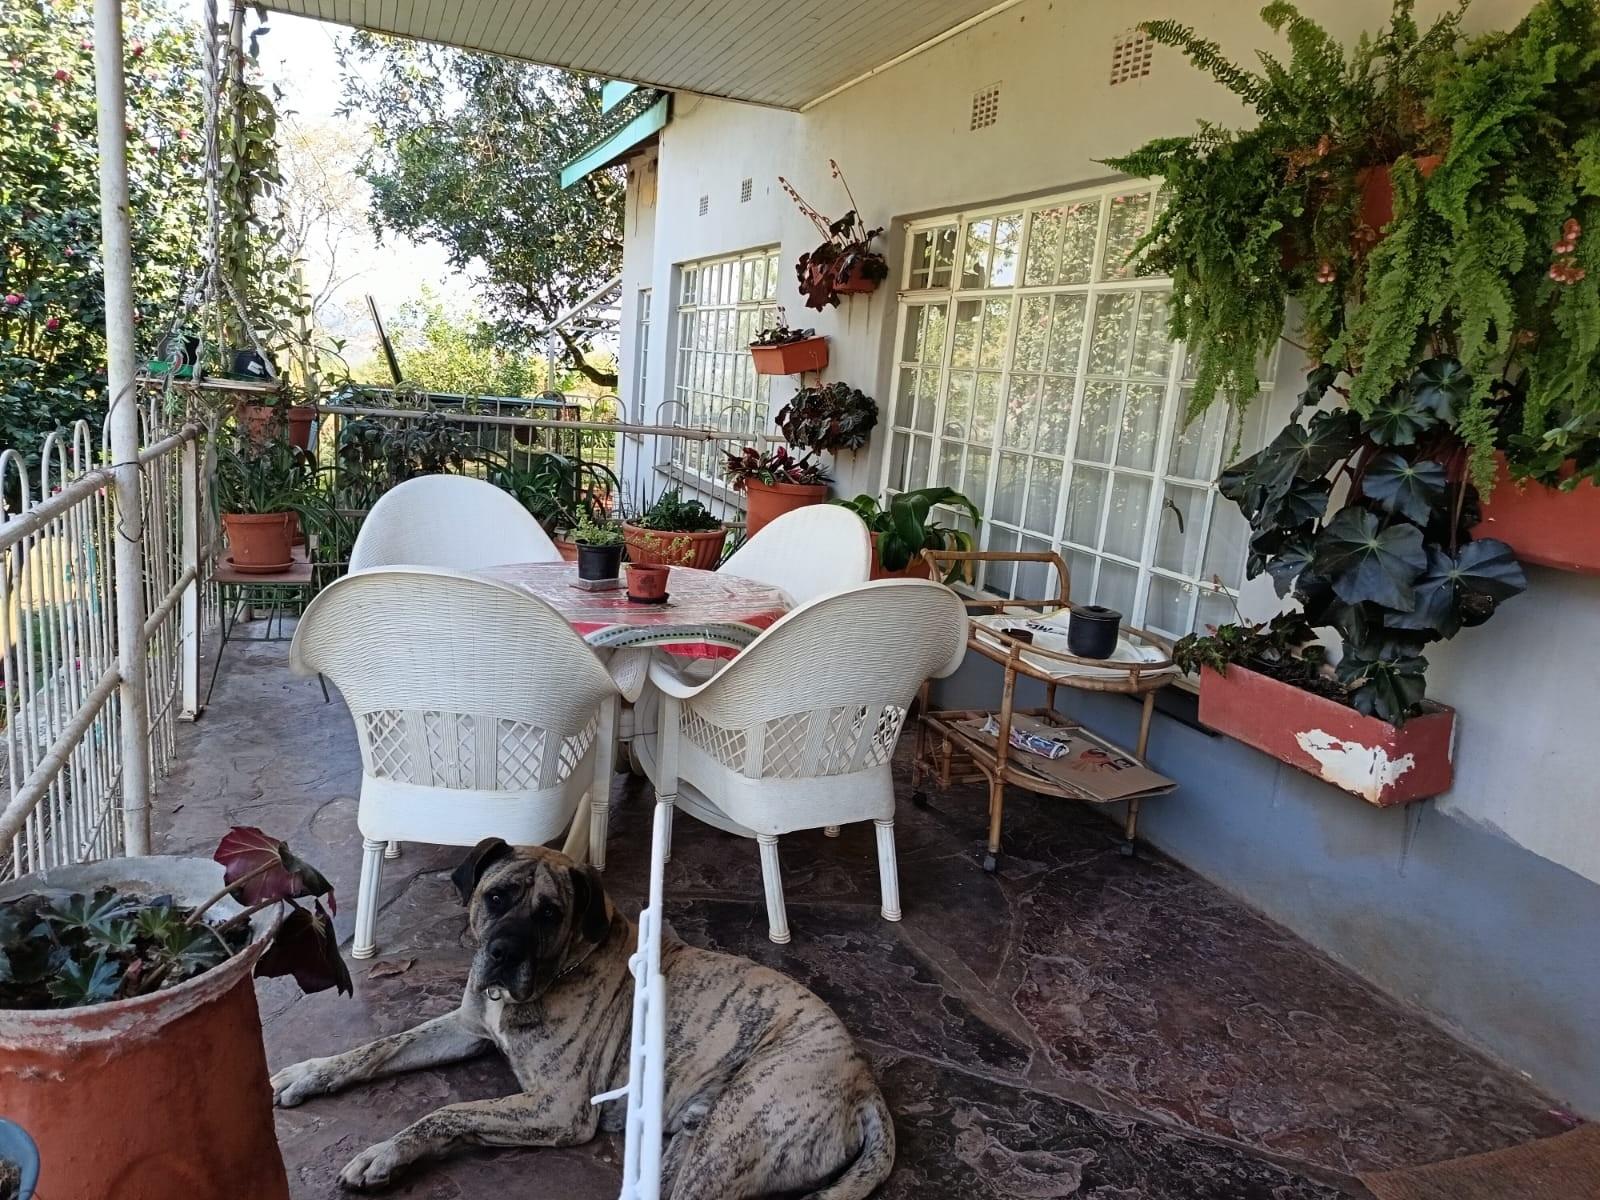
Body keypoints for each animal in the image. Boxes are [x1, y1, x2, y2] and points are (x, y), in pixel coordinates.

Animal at [270, 839, 895, 1197]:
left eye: (550, 915)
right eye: (496, 898)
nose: (504, 953)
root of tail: (865, 1085)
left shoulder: (556, 1108)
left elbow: (448, 1112)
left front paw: (385, 1154)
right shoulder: (467, 1027)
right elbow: (379, 1047)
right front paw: (310, 1072)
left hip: (731, 1134)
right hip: (689, 1142)